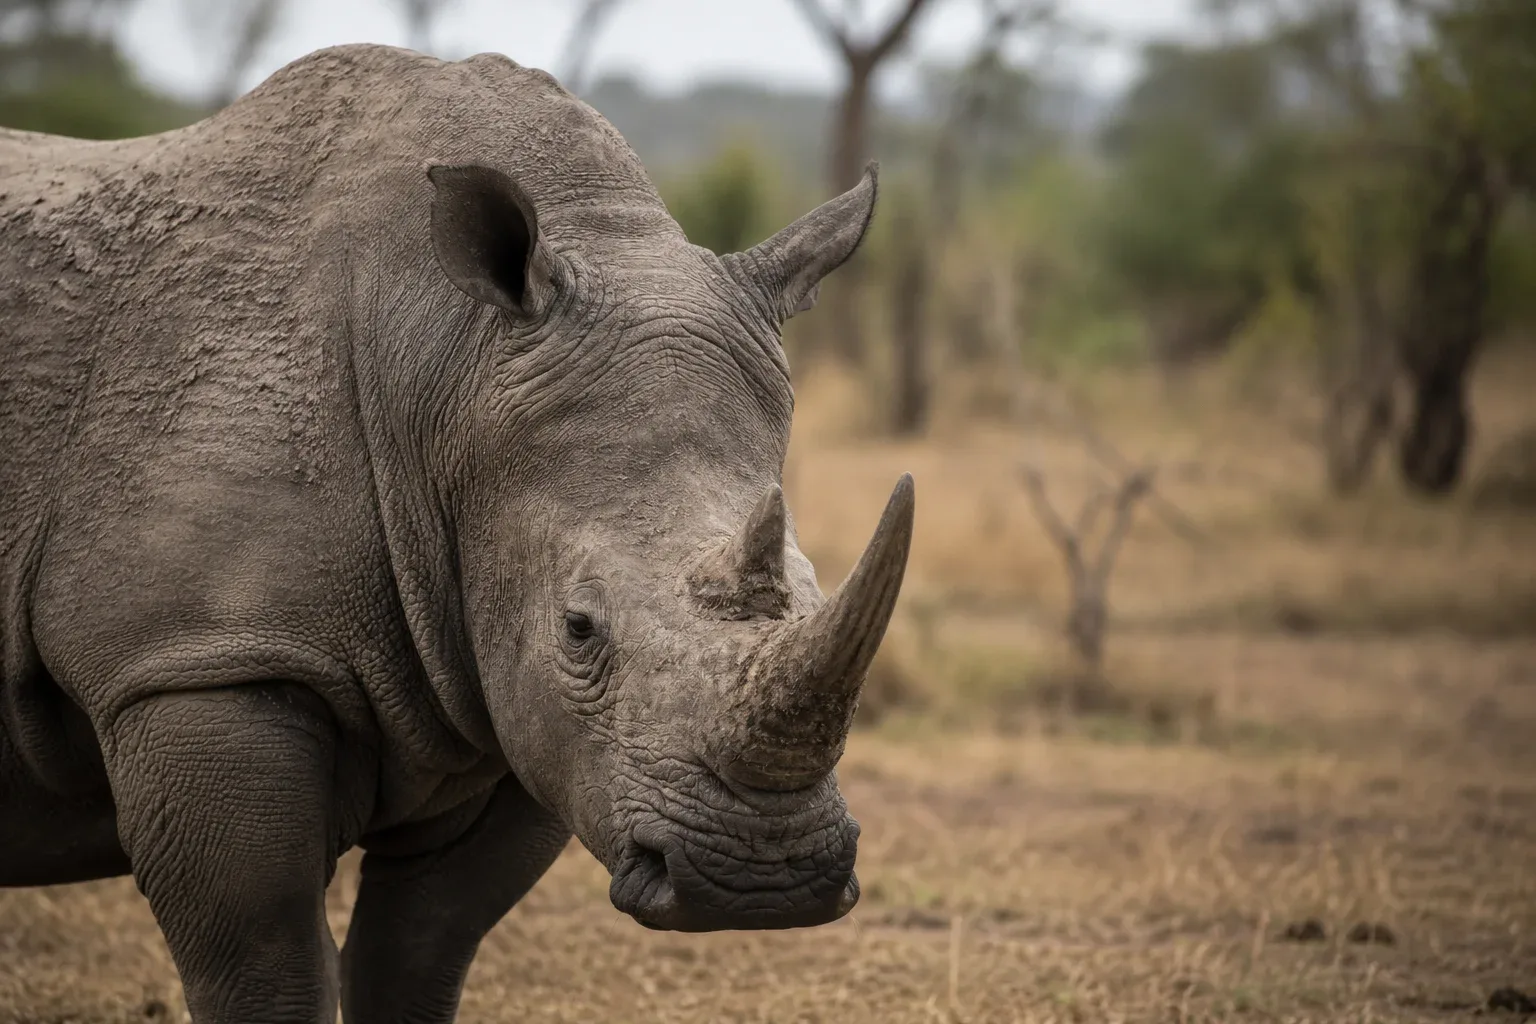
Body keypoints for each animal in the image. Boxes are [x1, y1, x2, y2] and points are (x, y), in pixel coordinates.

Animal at [0, 43, 914, 1024]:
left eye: (815, 592)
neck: (445, 359)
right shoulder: (194, 660)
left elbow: (422, 947)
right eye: (578, 628)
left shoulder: (512, 705)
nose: (761, 878)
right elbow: (263, 956)